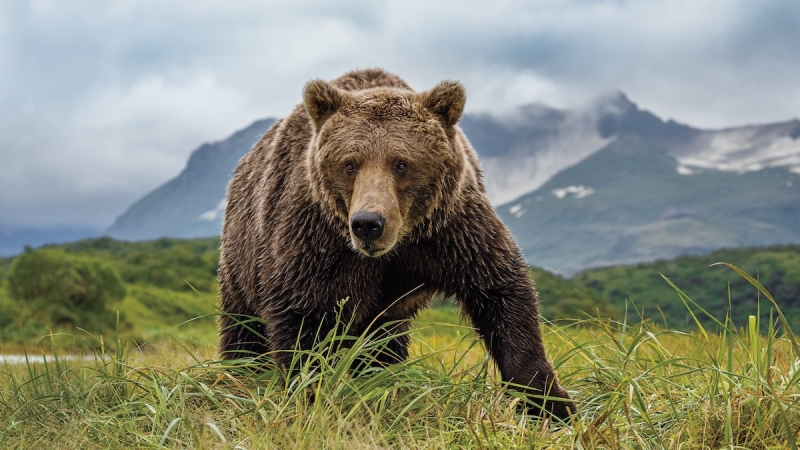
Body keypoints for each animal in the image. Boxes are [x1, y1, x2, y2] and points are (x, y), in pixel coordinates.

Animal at [216, 68, 572, 420]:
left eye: (401, 163)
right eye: (350, 164)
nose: (367, 224)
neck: (397, 244)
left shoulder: (450, 230)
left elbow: (501, 293)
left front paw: (550, 404)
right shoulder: (317, 239)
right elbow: (304, 318)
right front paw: (313, 398)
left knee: (382, 344)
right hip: (242, 258)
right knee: (243, 330)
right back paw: (239, 378)